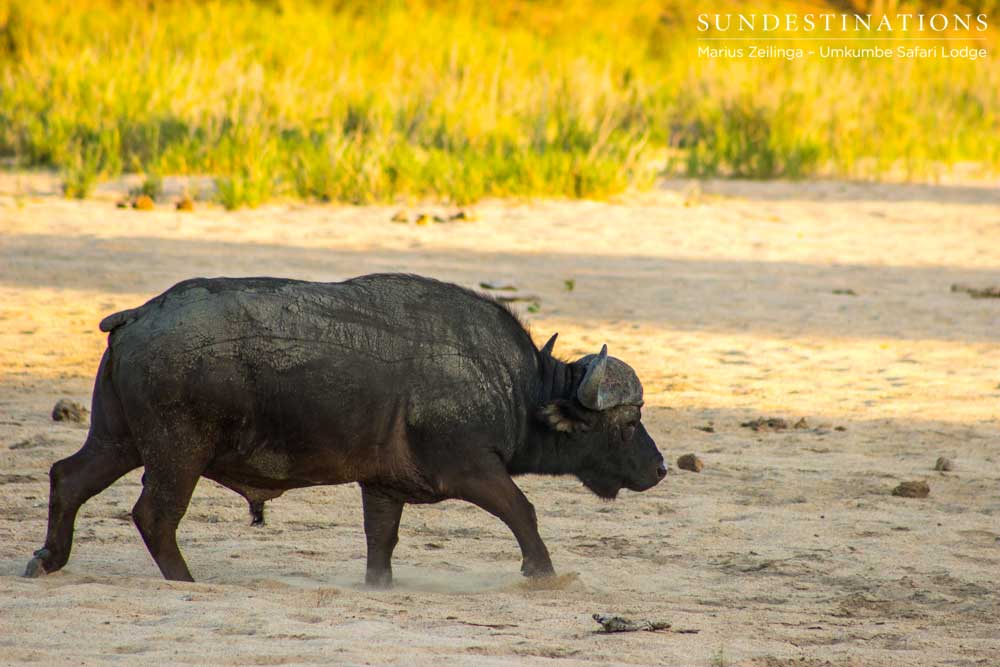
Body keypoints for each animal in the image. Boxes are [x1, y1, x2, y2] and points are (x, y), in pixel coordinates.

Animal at [25, 274, 666, 586]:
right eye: (630, 421)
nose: (660, 467)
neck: (513, 385)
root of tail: (139, 313)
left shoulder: (383, 488)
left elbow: (380, 542)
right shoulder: (472, 469)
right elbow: (523, 512)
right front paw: (543, 573)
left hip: (119, 441)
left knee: (68, 477)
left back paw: (48, 558)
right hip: (176, 454)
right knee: (154, 515)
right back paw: (185, 579)